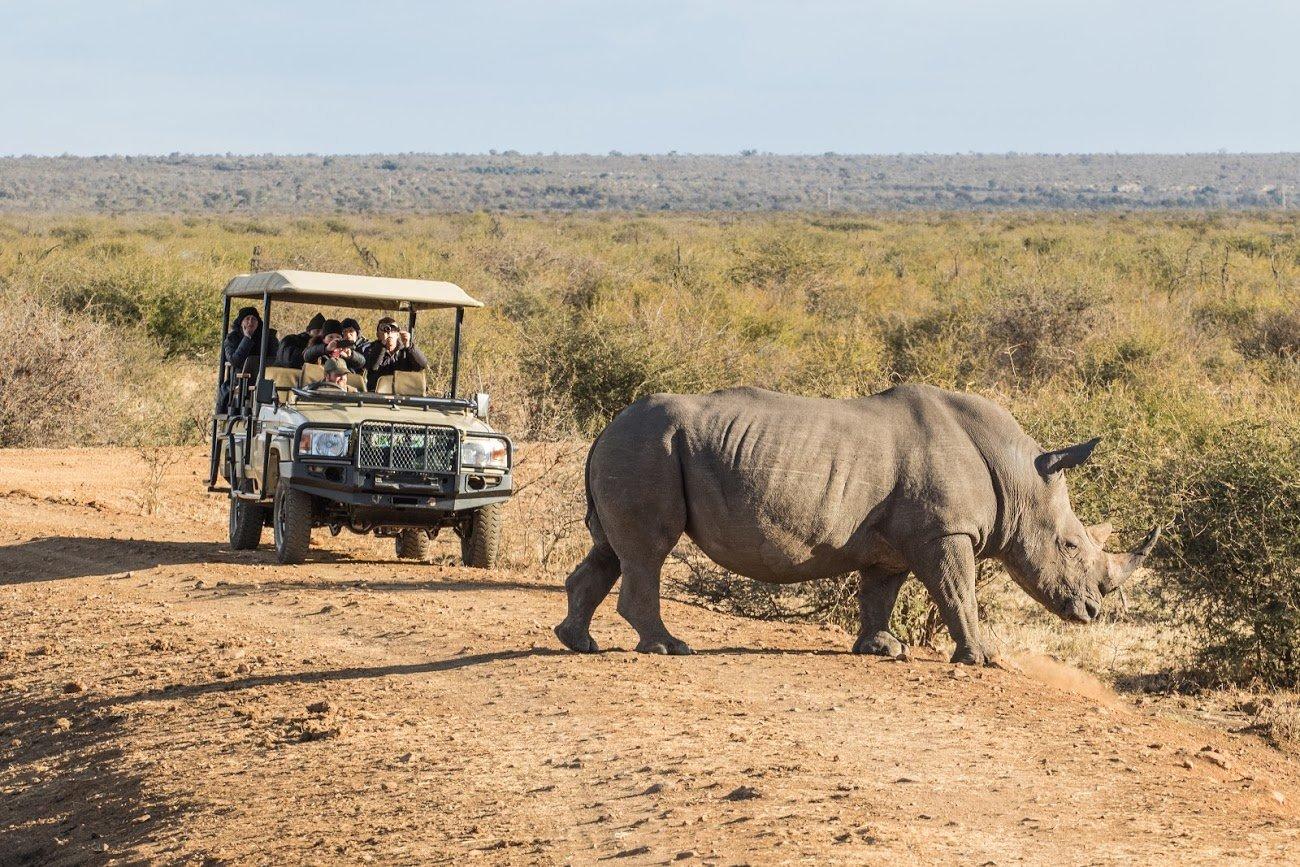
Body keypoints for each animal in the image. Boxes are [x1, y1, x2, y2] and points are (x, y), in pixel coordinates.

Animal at [554, 384, 1159, 664]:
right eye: (1069, 544)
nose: (1092, 612)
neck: (1017, 475)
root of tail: (605, 428)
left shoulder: (896, 540)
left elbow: (880, 591)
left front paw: (882, 649)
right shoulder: (945, 532)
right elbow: (958, 592)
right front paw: (984, 659)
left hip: (636, 448)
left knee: (611, 549)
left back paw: (579, 643)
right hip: (647, 449)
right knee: (647, 552)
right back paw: (668, 648)